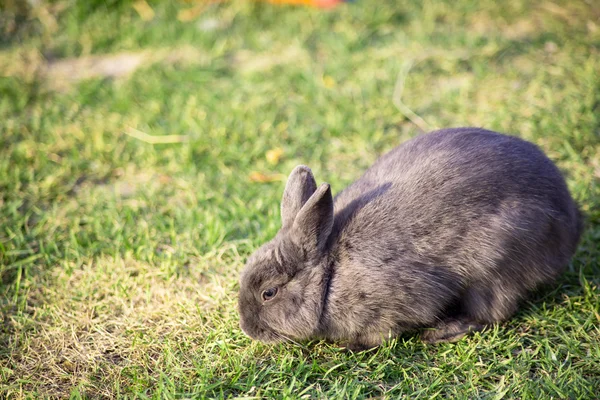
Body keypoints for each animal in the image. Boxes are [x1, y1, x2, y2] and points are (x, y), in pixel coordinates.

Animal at [238, 127, 580, 350]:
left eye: (269, 293)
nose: (247, 329)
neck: (329, 271)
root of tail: (569, 220)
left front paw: (351, 346)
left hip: (496, 265)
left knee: (493, 312)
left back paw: (443, 332)